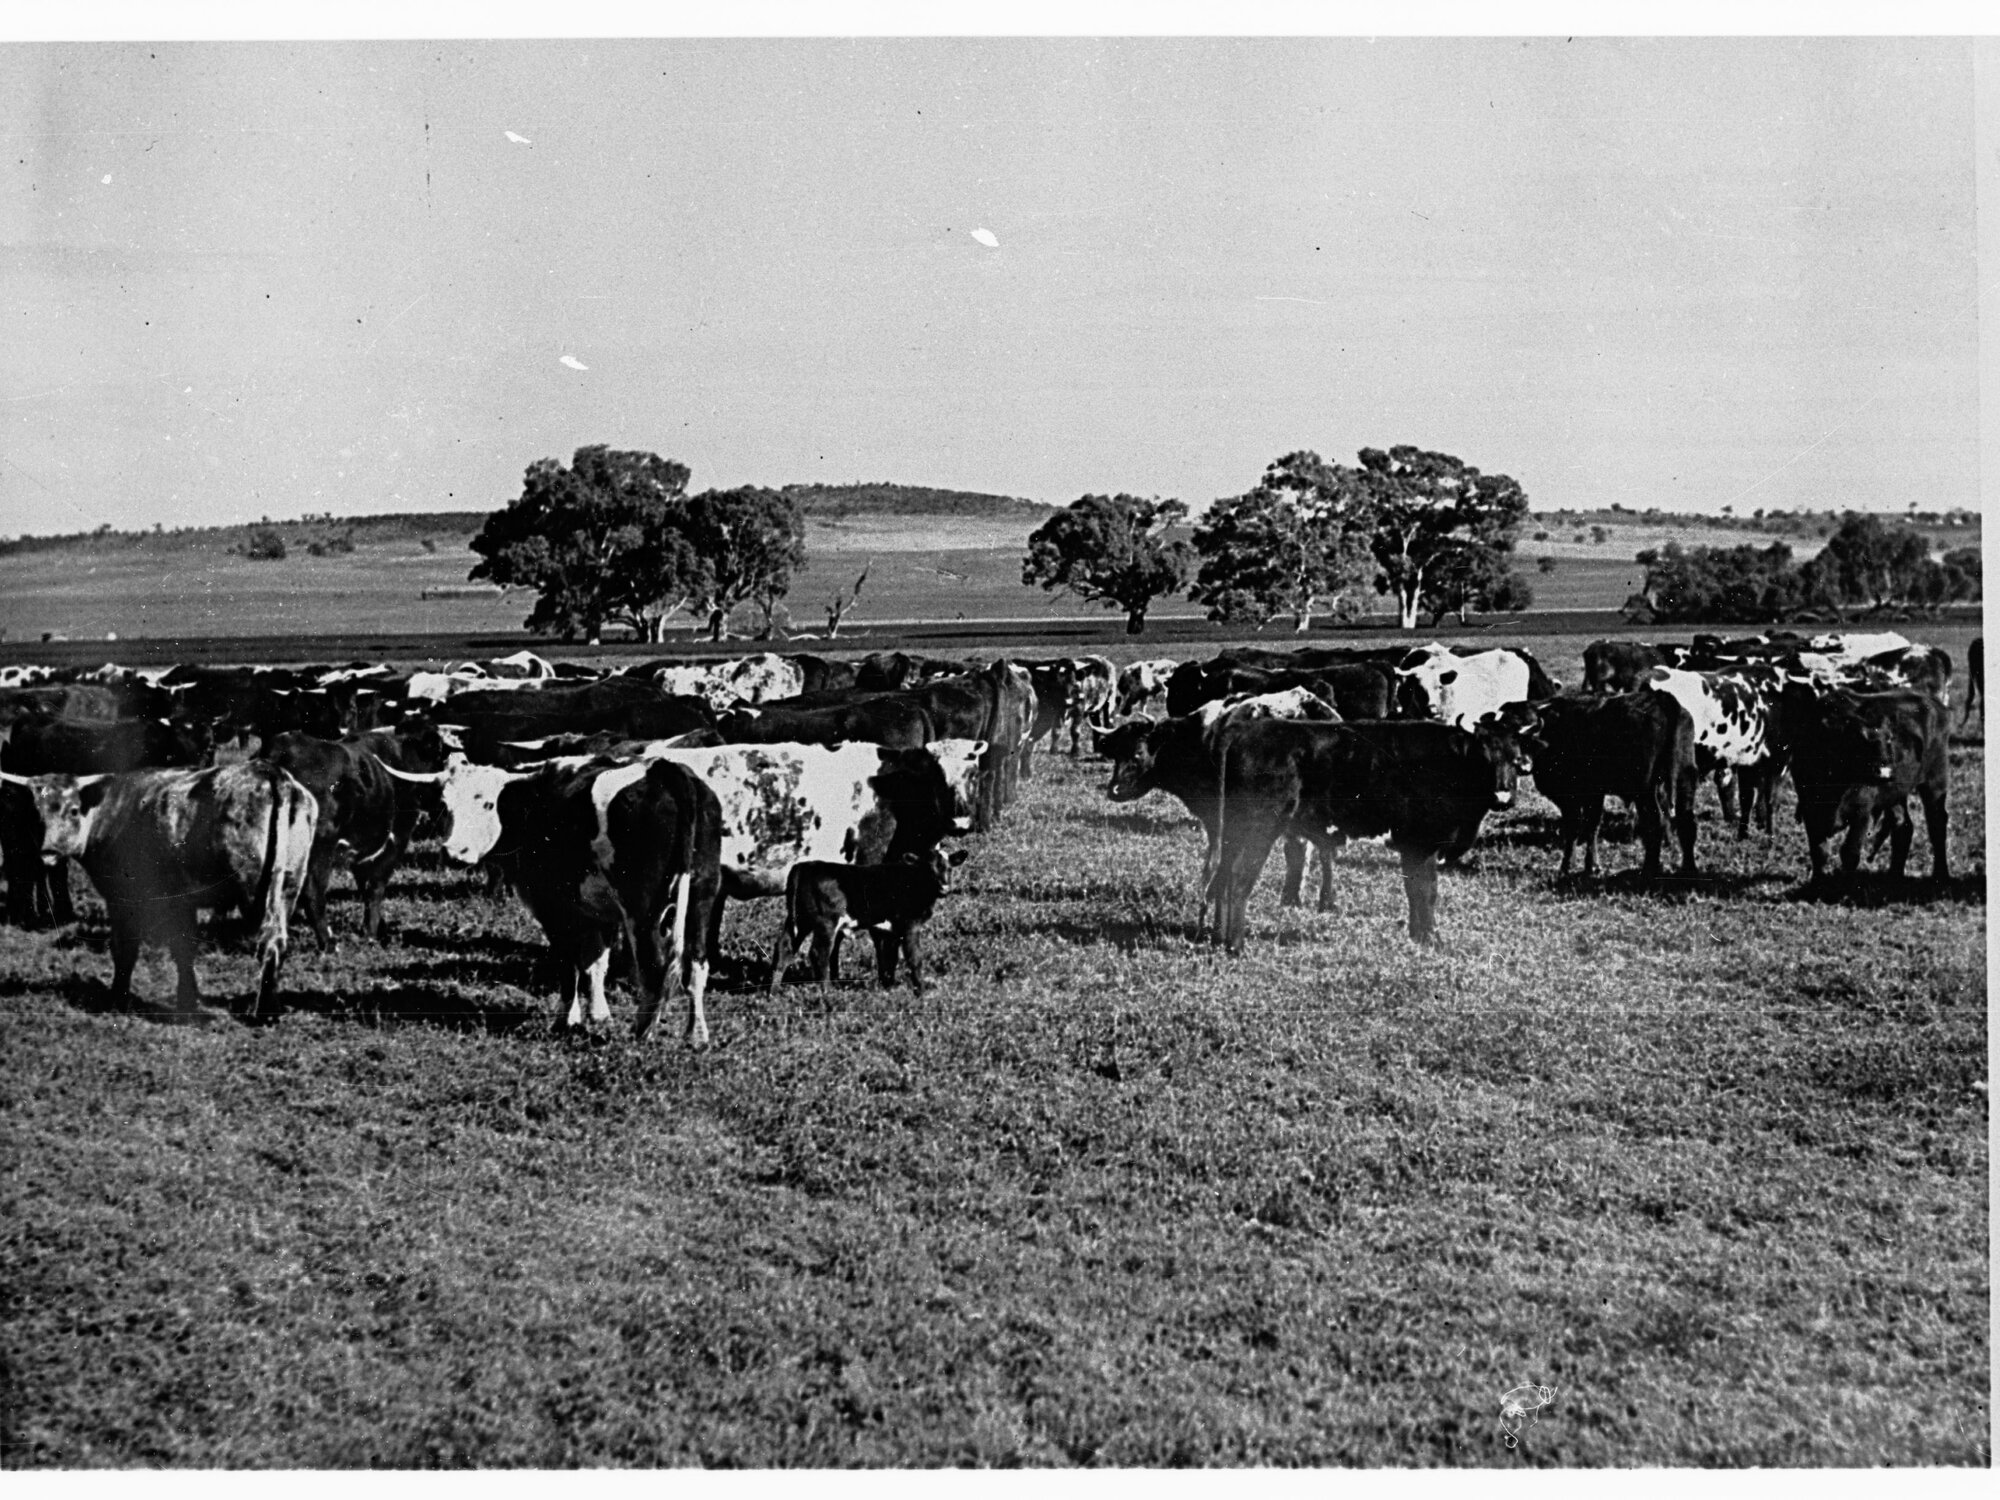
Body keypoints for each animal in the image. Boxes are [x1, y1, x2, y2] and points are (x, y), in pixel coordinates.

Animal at [0, 762, 318, 1017]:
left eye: (73, 810)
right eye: (35, 814)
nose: (48, 854)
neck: (110, 811)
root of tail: (272, 772)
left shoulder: (124, 898)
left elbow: (127, 948)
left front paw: (119, 998)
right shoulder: (183, 901)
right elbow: (184, 948)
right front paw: (188, 999)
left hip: (255, 892)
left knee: (269, 940)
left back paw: (263, 1011)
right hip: (289, 884)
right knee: (278, 940)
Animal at [768, 848, 968, 998]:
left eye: (949, 868)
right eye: (927, 869)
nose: (944, 888)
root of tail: (806, 866)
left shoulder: (890, 930)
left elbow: (890, 959)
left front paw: (888, 987)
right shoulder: (910, 925)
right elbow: (914, 958)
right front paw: (921, 993)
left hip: (799, 920)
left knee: (783, 948)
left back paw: (773, 993)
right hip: (826, 922)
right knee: (819, 953)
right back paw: (827, 993)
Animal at [1208, 712, 1536, 949]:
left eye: (1516, 758)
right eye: (1485, 757)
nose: (1503, 796)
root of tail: (1242, 730)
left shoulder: (1412, 848)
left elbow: (1414, 890)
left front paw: (1418, 936)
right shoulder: (1422, 844)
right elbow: (1426, 891)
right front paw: (1432, 939)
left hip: (1233, 833)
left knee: (1221, 879)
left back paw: (1219, 938)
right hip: (1258, 829)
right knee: (1238, 879)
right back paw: (1236, 945)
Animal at [1520, 690, 1698, 878]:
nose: (1523, 765)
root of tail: (1661, 699)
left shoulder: (1573, 797)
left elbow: (1575, 827)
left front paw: (1568, 866)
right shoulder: (1595, 795)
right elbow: (1592, 826)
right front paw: (1592, 866)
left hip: (1645, 791)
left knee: (1655, 823)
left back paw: (1649, 869)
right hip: (1685, 778)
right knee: (1686, 821)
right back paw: (1689, 868)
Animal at [1785, 687, 1949, 884]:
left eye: (1889, 739)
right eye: (1857, 739)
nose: (1885, 773)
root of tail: (1934, 703)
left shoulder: (1863, 813)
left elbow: (1849, 853)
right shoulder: (1810, 810)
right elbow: (1819, 851)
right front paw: (1818, 882)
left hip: (1935, 781)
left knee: (1937, 823)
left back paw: (1941, 875)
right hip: (1895, 795)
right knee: (1903, 826)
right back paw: (1894, 876)